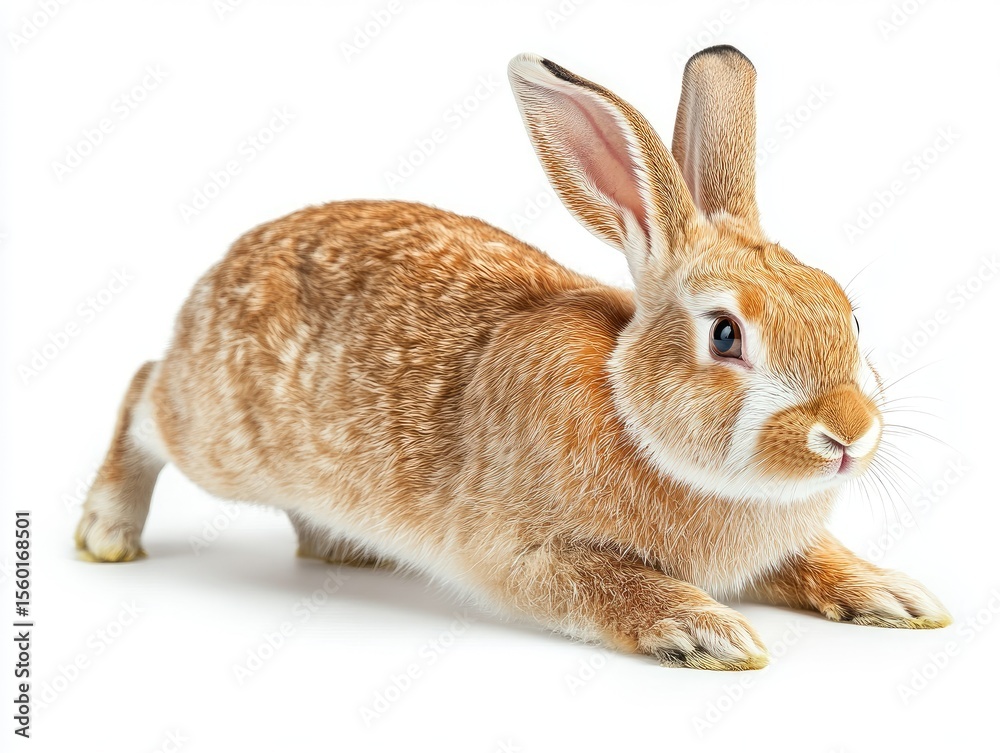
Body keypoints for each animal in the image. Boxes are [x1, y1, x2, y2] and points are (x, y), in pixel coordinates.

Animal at [76, 45, 950, 670]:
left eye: (849, 313)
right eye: (726, 335)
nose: (848, 432)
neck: (633, 416)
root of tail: (215, 276)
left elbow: (817, 559)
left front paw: (896, 594)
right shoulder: (523, 553)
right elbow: (608, 585)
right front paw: (705, 629)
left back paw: (342, 544)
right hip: (219, 437)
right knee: (142, 392)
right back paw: (107, 532)